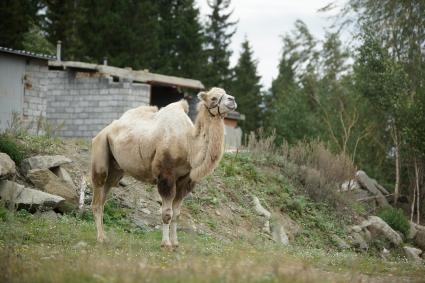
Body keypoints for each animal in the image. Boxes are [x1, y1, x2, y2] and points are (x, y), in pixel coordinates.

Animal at [90, 87, 235, 248]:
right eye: (213, 98)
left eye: (226, 93)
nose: (232, 100)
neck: (189, 145)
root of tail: (105, 130)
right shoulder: (166, 175)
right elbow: (167, 213)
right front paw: (166, 244)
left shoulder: (184, 180)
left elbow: (177, 214)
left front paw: (176, 243)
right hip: (100, 149)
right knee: (97, 196)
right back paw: (100, 238)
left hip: (116, 168)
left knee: (104, 195)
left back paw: (104, 237)